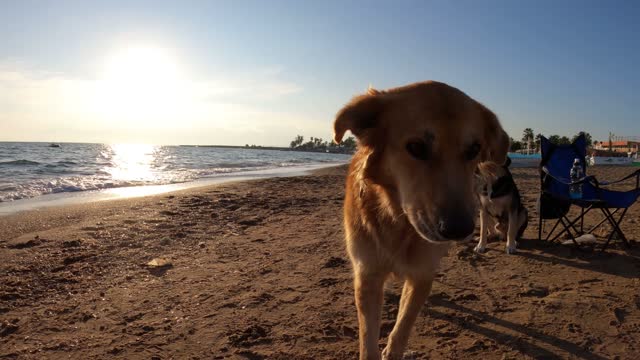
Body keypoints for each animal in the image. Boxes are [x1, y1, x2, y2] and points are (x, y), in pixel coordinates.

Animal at [336, 81, 510, 360]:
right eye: (416, 147)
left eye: (474, 149)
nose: (458, 229)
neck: (399, 224)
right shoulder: (368, 273)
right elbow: (368, 339)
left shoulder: (422, 274)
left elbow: (403, 326)